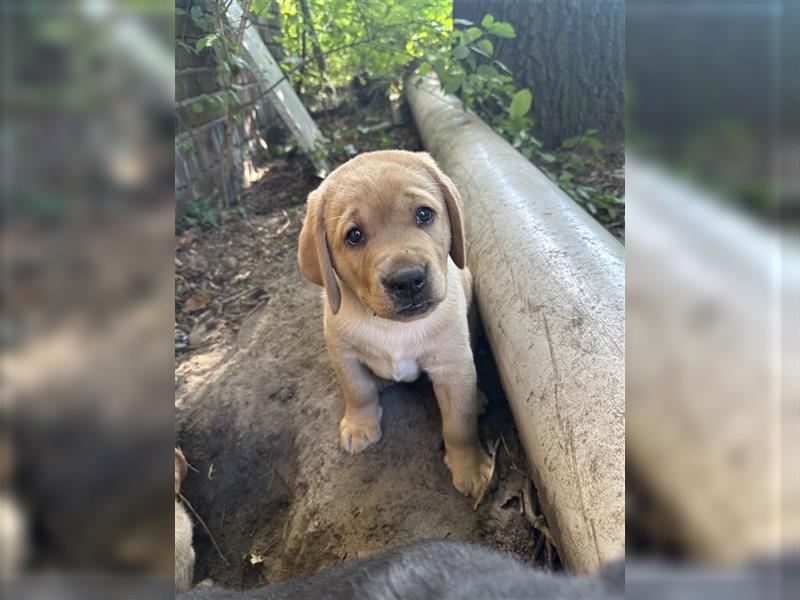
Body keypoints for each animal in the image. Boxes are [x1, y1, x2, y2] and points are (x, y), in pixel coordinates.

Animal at [296, 150, 490, 502]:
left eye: (424, 214)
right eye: (354, 235)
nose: (408, 280)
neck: (392, 326)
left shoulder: (452, 365)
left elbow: (459, 423)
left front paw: (469, 467)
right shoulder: (343, 354)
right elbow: (357, 390)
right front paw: (360, 426)